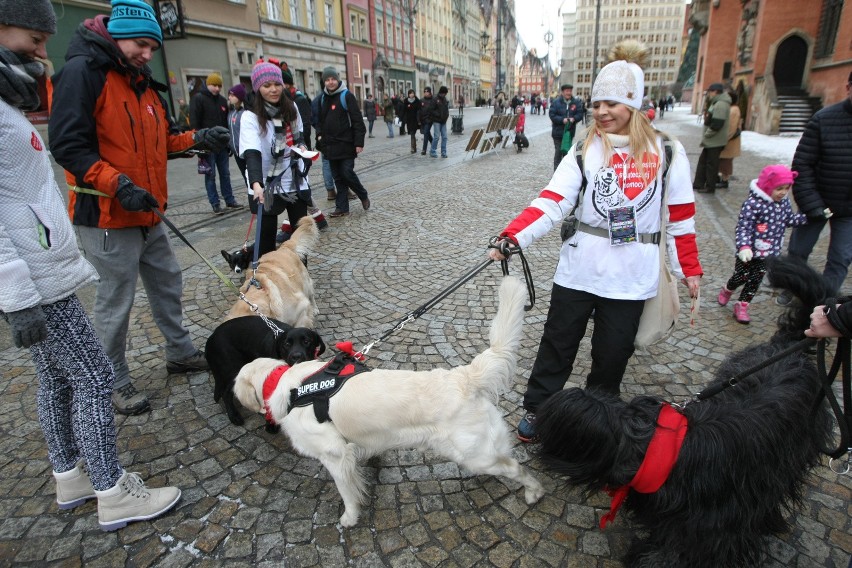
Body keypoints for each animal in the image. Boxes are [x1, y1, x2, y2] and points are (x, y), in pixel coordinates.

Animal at [231, 276, 544, 528]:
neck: (289, 385)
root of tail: (463, 376)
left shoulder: (335, 454)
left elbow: (348, 491)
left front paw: (350, 517)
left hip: (475, 453)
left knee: (516, 468)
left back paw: (534, 492)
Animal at [536, 258, 836, 568]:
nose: (535, 428)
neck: (655, 447)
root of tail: (790, 348)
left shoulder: (714, 523)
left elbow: (680, 549)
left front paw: (647, 558)